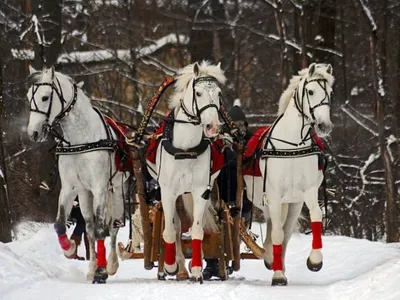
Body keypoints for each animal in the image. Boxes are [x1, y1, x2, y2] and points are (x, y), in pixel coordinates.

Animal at [26, 66, 130, 284]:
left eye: (45, 97)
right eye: (29, 97)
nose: (33, 133)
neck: (81, 140)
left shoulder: (100, 188)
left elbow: (101, 229)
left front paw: (102, 272)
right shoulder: (71, 188)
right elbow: (60, 224)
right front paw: (69, 249)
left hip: (117, 190)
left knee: (113, 227)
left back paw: (110, 265)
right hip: (85, 195)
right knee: (89, 228)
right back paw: (92, 267)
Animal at [146, 61, 225, 284]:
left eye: (219, 93)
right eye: (198, 93)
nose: (213, 127)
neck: (186, 149)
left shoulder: (200, 191)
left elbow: (197, 229)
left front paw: (197, 269)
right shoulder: (167, 192)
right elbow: (170, 231)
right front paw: (170, 265)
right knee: (177, 225)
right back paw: (178, 267)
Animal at [244, 63, 334, 286]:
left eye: (330, 92)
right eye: (310, 91)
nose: (325, 126)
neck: (292, 146)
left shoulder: (307, 192)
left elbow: (315, 217)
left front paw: (315, 260)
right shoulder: (274, 196)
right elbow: (276, 233)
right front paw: (277, 276)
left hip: (292, 203)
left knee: (284, 233)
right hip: (268, 201)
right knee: (275, 231)